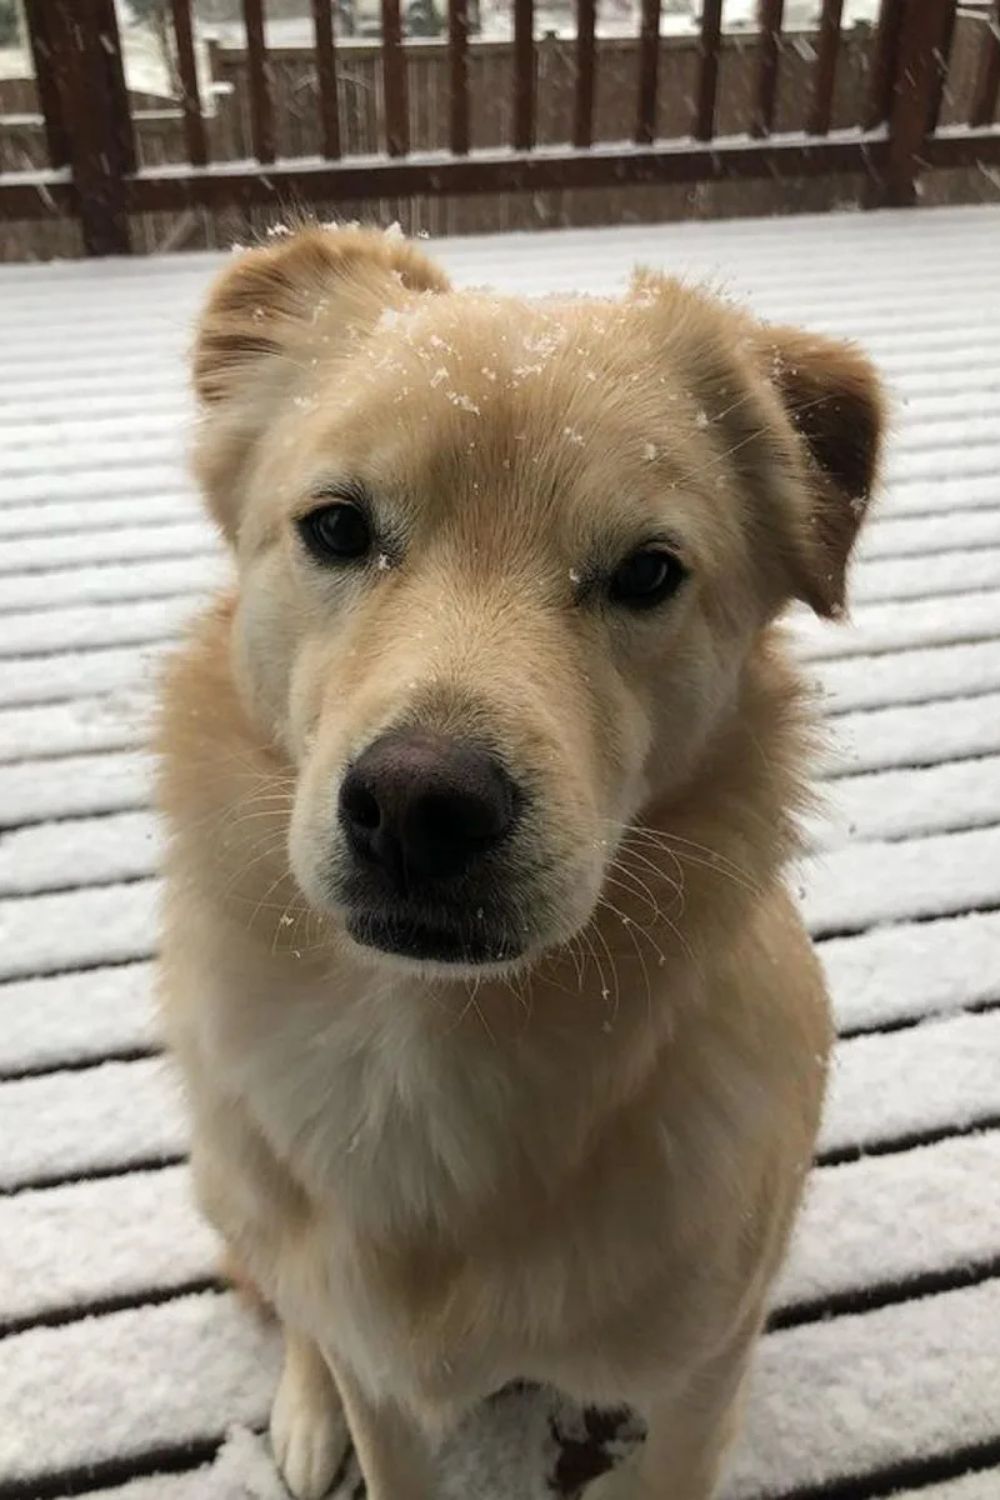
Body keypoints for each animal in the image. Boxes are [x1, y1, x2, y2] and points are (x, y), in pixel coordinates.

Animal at [152, 225, 881, 1500]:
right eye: (337, 527)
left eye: (646, 572)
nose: (419, 807)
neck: (427, 1059)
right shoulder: (381, 1372)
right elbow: (357, 1381)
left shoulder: (700, 1378)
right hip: (230, 1177)